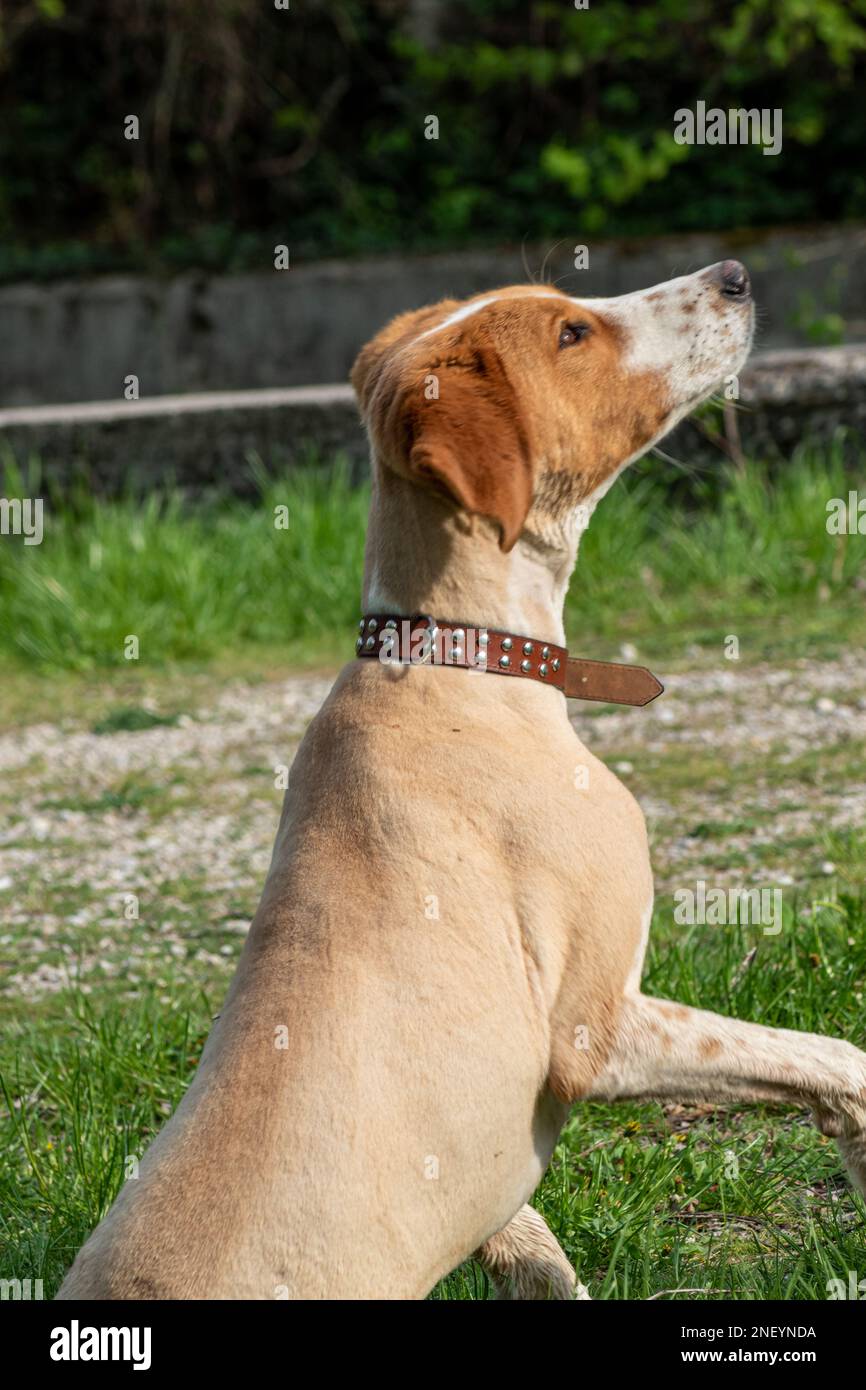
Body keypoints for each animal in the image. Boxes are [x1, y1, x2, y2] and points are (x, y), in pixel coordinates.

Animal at [59, 262, 866, 1301]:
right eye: (571, 333)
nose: (733, 275)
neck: (460, 659)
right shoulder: (592, 1032)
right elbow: (834, 1054)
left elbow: (535, 1248)